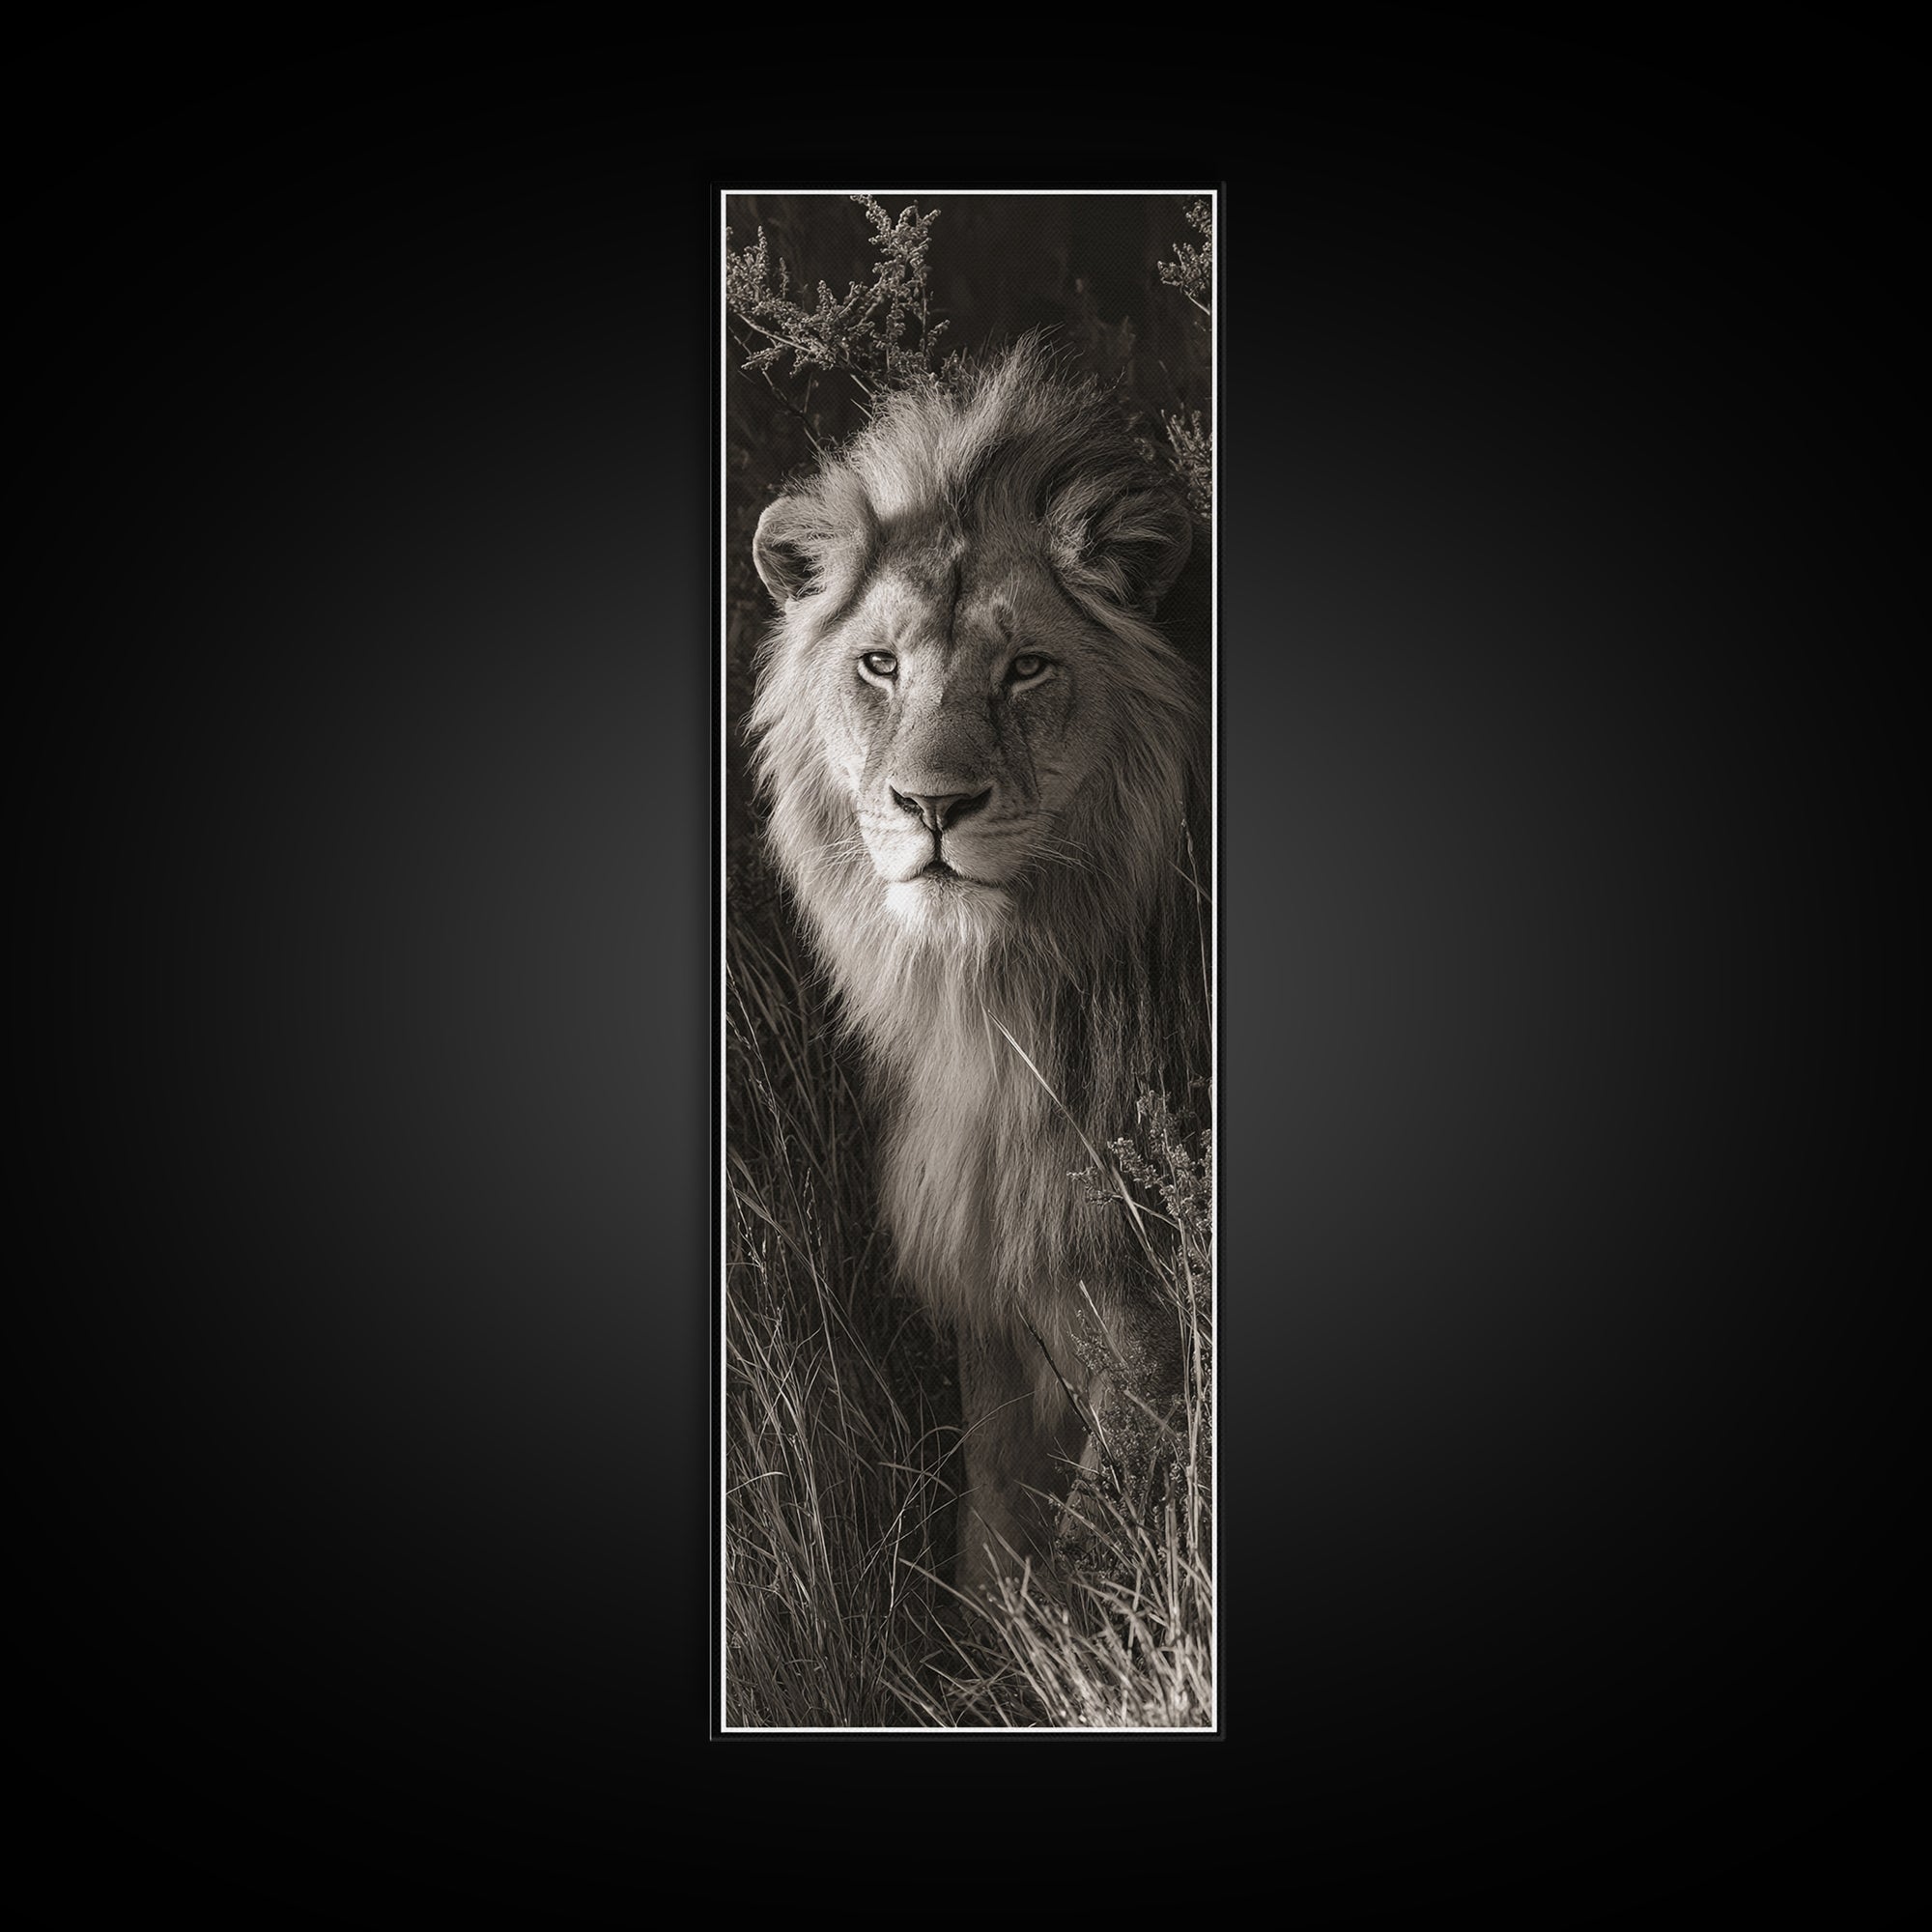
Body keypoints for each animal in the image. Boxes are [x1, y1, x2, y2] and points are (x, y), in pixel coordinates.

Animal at [746, 339, 1209, 1595]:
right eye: (876, 664)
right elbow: (992, 1527)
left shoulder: (1145, 1327)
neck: (1003, 1002)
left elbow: (1098, 1543)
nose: (932, 805)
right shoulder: (1000, 1295)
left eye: (1027, 669)